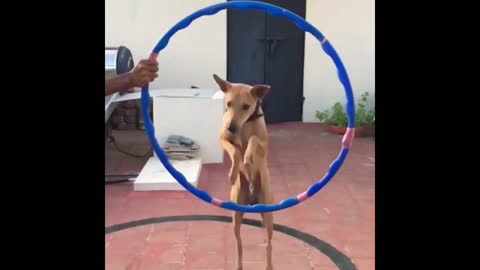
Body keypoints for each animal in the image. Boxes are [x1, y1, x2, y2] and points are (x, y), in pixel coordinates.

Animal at [214, 74, 274, 270]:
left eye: (246, 106)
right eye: (228, 103)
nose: (231, 127)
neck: (245, 124)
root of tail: (252, 200)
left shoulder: (264, 146)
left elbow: (253, 140)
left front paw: (248, 157)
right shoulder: (223, 139)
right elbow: (235, 151)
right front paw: (234, 172)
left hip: (268, 215)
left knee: (269, 244)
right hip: (236, 216)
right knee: (239, 244)